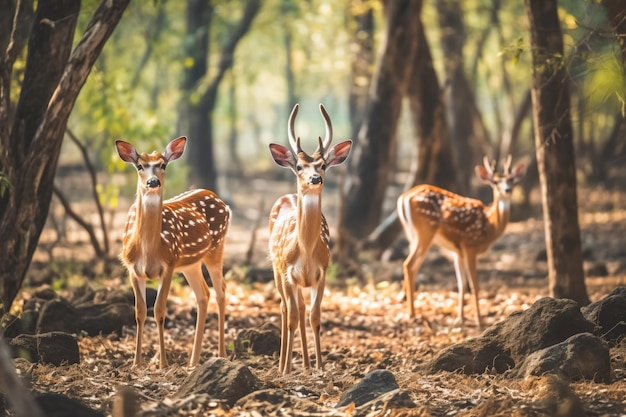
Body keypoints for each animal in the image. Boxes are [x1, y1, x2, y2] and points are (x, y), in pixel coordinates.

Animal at [114, 136, 229, 368]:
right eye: (139, 166)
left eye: (163, 165)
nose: (153, 182)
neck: (149, 251)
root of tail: (219, 199)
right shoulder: (132, 269)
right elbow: (140, 312)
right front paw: (137, 363)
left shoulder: (168, 265)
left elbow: (159, 310)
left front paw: (163, 363)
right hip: (190, 264)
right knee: (204, 294)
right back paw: (193, 361)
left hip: (215, 249)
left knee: (220, 290)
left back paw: (221, 354)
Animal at [268, 104, 352, 374]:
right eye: (299, 167)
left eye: (323, 165)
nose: (315, 179)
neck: (304, 251)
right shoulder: (287, 271)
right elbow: (293, 316)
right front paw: (286, 369)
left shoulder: (322, 271)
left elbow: (315, 316)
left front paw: (319, 366)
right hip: (275, 268)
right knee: (285, 309)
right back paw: (283, 364)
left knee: (302, 308)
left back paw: (304, 363)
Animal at [398, 154, 524, 326]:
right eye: (494, 182)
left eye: (511, 180)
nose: (507, 190)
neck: (490, 225)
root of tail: (404, 197)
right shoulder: (470, 245)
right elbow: (474, 284)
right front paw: (479, 320)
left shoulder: (457, 251)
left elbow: (462, 284)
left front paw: (460, 318)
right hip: (425, 231)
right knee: (409, 264)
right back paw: (412, 314)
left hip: (412, 235)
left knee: (413, 267)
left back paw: (410, 310)